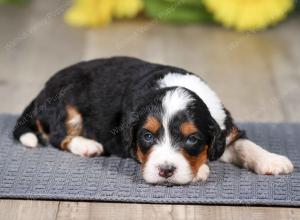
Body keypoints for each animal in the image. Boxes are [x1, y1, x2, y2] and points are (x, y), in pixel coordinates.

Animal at [13, 56, 292, 184]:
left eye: (193, 139)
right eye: (147, 136)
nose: (166, 171)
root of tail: (41, 91)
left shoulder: (226, 130)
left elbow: (246, 145)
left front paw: (273, 161)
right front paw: (201, 169)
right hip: (66, 104)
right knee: (58, 136)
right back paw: (87, 145)